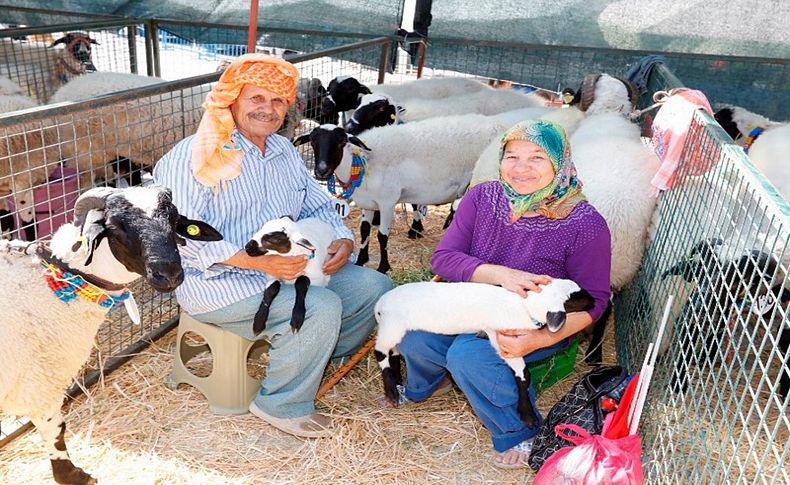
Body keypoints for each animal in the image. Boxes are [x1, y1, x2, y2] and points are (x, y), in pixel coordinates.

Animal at [0, 185, 223, 484]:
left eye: (175, 220)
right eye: (115, 226)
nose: (169, 275)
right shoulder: (40, 384)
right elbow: (56, 431)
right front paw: (72, 475)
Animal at [294, 113, 510, 272]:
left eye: (341, 142)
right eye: (312, 142)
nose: (321, 171)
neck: (363, 161)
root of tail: (501, 126)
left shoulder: (388, 201)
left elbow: (382, 235)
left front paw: (383, 266)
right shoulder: (368, 203)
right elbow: (364, 230)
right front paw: (361, 260)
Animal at [376, 278, 592, 426]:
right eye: (574, 299)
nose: (595, 301)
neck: (524, 306)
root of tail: (380, 304)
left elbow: (523, 374)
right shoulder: (503, 341)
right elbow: (523, 374)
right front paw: (527, 415)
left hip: (397, 330)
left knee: (393, 353)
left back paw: (397, 379)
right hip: (392, 326)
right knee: (380, 351)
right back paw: (391, 391)